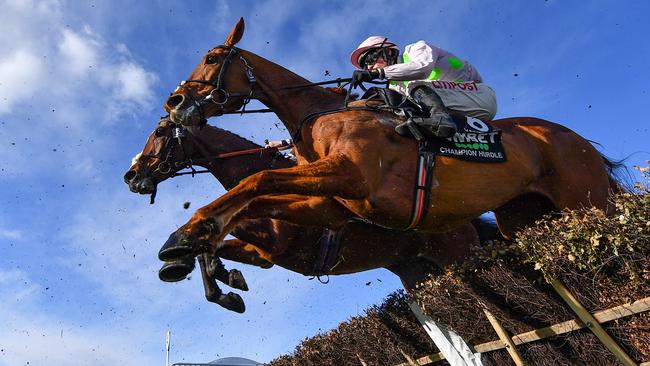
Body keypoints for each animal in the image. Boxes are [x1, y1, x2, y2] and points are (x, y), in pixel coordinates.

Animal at [124, 116, 494, 312]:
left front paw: (218, 273)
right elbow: (212, 250)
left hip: (458, 255)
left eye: (159, 132)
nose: (131, 175)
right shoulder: (264, 255)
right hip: (416, 271)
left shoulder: (277, 241)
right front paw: (226, 285)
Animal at [161, 17, 616, 284]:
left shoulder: (352, 174)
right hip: (524, 218)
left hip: (589, 205)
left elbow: (260, 178)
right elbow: (258, 196)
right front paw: (192, 240)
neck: (318, 116)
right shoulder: (332, 205)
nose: (174, 102)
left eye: (212, 57)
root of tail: (576, 139)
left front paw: (188, 233)